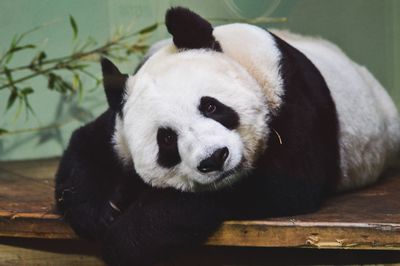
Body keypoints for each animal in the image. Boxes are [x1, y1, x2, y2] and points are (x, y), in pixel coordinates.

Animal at [54, 6, 400, 266]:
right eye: (166, 139)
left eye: (211, 105)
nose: (214, 158)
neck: (236, 52)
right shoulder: (120, 121)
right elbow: (87, 146)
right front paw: (98, 212)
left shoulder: (291, 94)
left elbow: (286, 183)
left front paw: (124, 239)